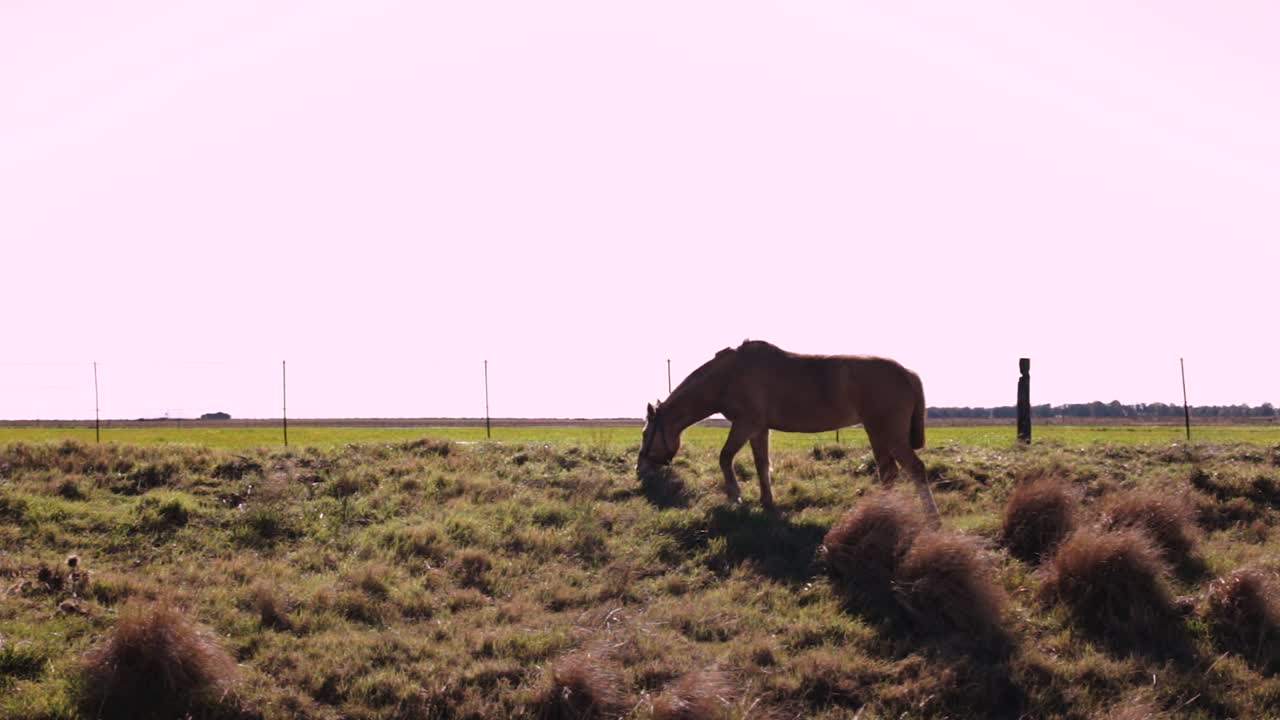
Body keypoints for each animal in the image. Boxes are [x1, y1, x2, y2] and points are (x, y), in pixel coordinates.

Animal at [637, 340, 941, 527]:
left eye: (645, 434)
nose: (640, 471)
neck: (729, 376)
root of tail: (907, 373)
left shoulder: (745, 425)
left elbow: (725, 457)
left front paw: (735, 497)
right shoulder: (758, 430)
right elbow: (761, 465)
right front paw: (767, 502)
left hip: (889, 433)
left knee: (914, 468)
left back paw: (931, 517)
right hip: (876, 432)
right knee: (888, 471)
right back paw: (883, 511)